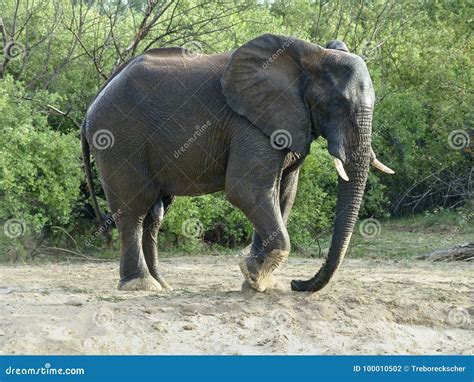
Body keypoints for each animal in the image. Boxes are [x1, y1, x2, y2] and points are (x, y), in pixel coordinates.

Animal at [80, 34, 392, 294]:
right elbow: (247, 190)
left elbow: (283, 196)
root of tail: (92, 105)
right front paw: (254, 275)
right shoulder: (250, 123)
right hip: (118, 137)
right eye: (338, 104)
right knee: (134, 208)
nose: (297, 283)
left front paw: (259, 281)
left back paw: (163, 285)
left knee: (154, 215)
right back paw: (140, 286)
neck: (312, 54)